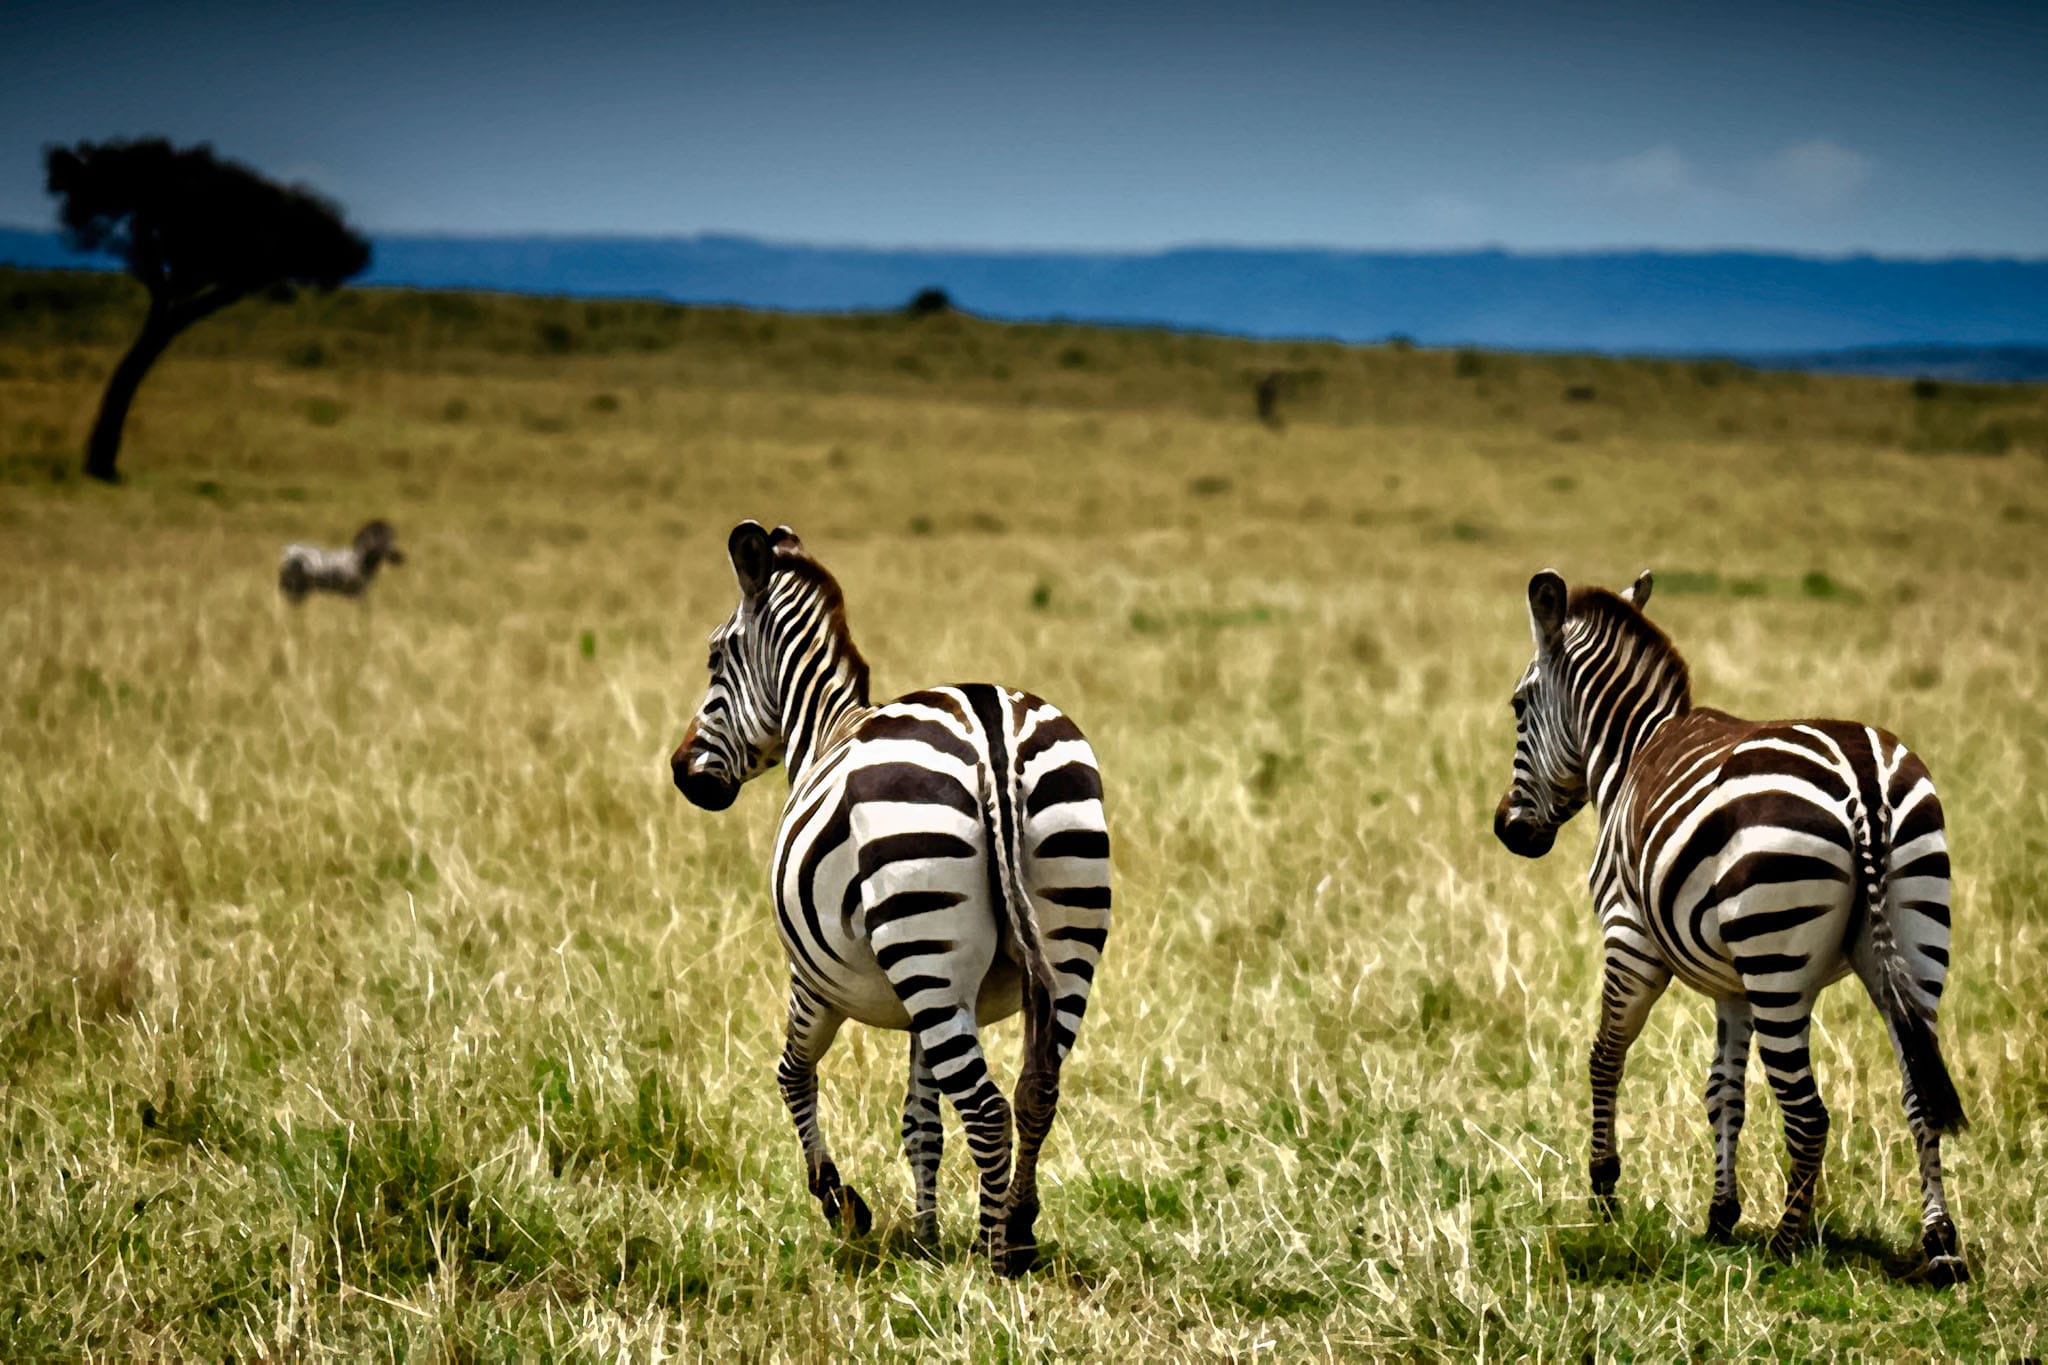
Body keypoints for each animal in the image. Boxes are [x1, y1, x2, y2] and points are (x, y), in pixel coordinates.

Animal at [668, 521, 1112, 1275]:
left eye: (715, 656)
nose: (680, 770)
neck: (824, 728)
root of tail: (990, 727)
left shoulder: (812, 979)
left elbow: (791, 1073)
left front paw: (842, 1203)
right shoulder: (923, 1016)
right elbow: (920, 1121)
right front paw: (926, 1235)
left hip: (924, 950)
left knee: (987, 1109)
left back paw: (993, 1256)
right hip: (1053, 936)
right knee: (1036, 1090)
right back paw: (1019, 1228)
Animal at [1492, 569, 1968, 1284]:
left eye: (1520, 707)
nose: (1507, 831)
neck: (1630, 753)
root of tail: (1864, 780)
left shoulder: (1629, 940)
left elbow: (1605, 1056)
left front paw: (1604, 1191)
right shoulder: (1732, 985)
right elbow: (1724, 1092)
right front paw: (1720, 1216)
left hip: (1777, 960)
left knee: (1809, 1115)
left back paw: (1785, 1245)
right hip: (1914, 940)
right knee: (1919, 1093)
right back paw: (1939, 1244)